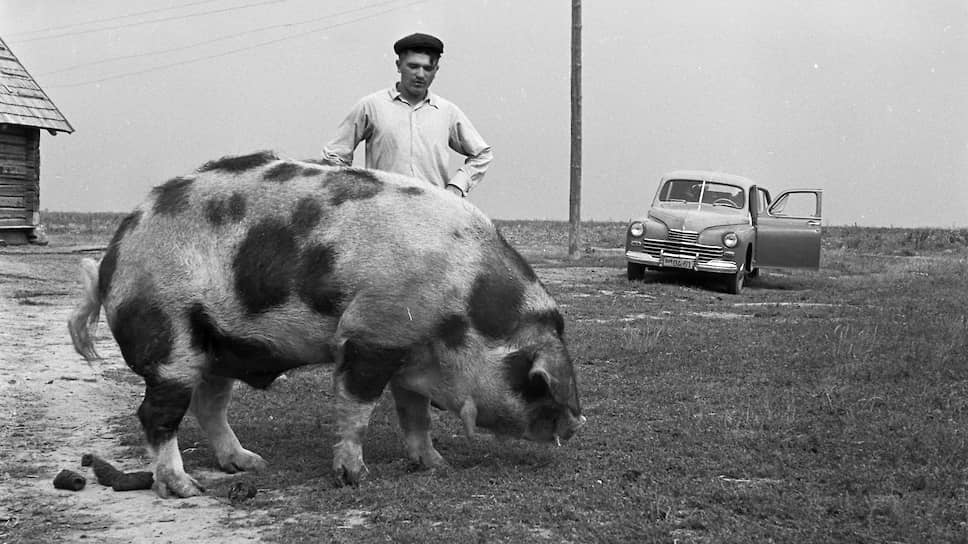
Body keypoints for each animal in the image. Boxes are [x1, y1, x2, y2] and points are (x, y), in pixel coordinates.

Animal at [68, 152, 588, 498]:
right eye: (536, 381)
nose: (575, 424)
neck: (464, 309)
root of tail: (113, 254)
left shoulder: (410, 353)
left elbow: (415, 416)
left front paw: (436, 466)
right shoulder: (370, 334)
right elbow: (357, 410)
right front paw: (355, 478)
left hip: (216, 346)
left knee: (209, 405)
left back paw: (249, 465)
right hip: (169, 335)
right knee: (156, 414)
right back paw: (186, 488)